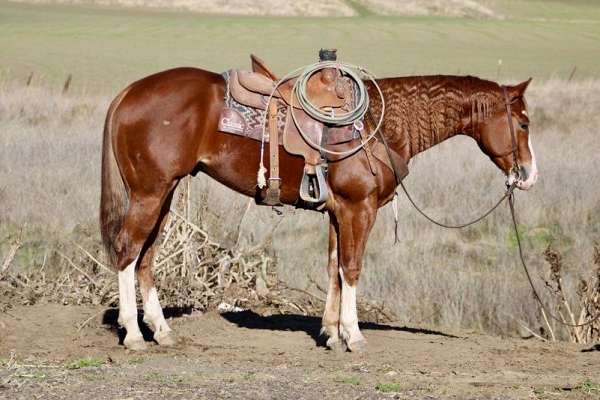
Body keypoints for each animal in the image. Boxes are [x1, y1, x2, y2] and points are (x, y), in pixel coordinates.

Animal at [99, 68, 540, 350]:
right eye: (523, 124)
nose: (529, 174)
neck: (378, 125)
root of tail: (129, 92)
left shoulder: (337, 211)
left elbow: (333, 269)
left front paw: (331, 332)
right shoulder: (359, 209)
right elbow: (352, 267)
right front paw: (354, 334)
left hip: (165, 194)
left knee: (146, 256)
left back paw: (161, 330)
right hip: (150, 193)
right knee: (127, 251)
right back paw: (134, 334)